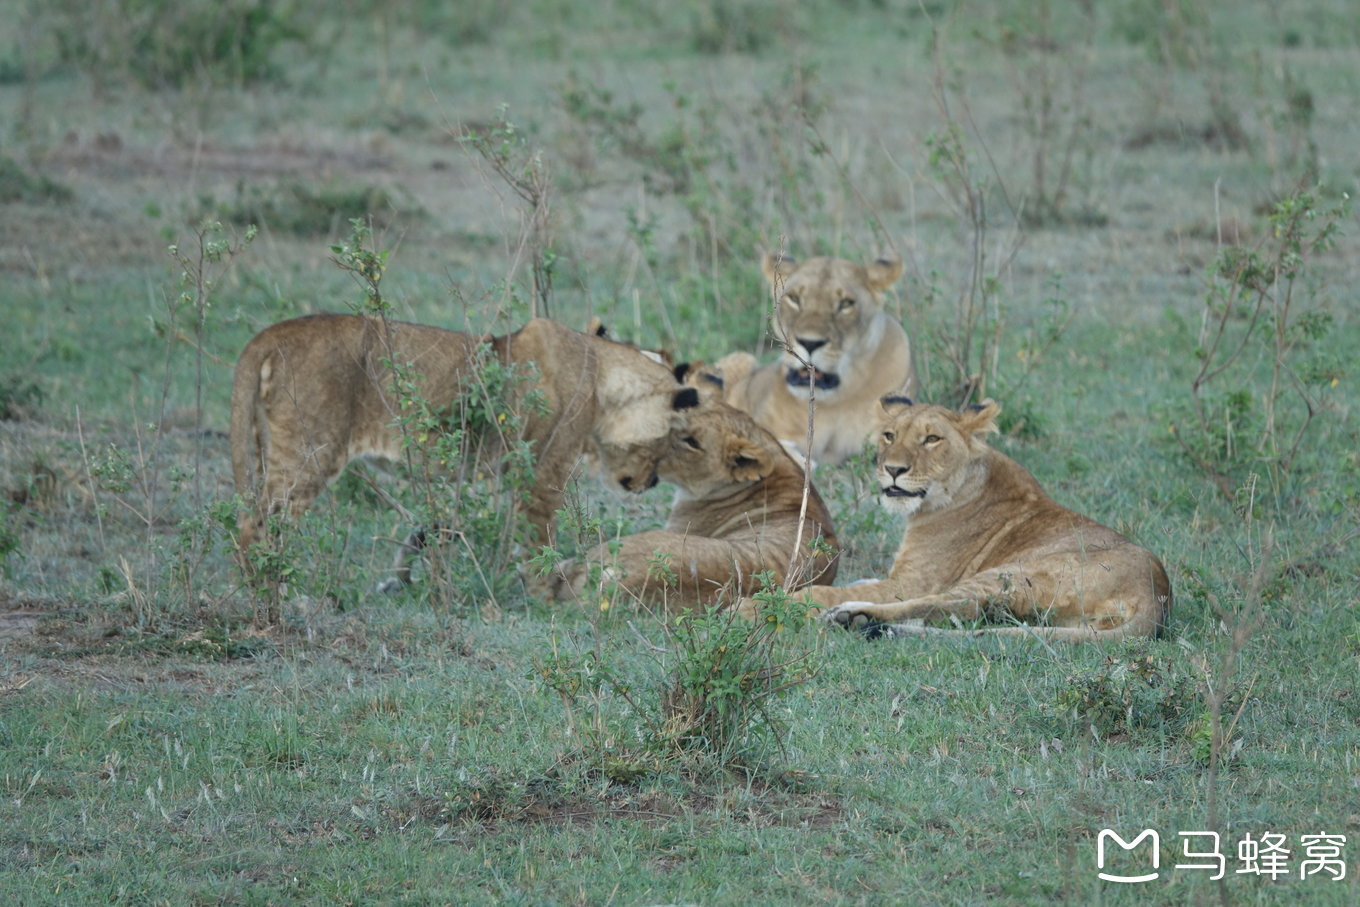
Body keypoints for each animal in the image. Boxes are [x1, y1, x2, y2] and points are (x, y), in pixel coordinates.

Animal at [229, 315, 701, 592]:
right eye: (672, 439)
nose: (650, 484)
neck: (603, 375)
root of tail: (270, 333)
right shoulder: (543, 472)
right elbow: (539, 540)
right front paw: (547, 594)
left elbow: (435, 526)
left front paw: (398, 580)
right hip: (310, 452)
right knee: (256, 527)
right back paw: (274, 595)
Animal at [767, 399, 1169, 644]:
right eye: (889, 435)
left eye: (932, 439)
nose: (892, 470)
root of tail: (1156, 595)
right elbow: (863, 579)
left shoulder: (910, 583)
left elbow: (834, 590)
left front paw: (786, 600)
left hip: (1010, 574)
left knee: (949, 605)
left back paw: (855, 617)